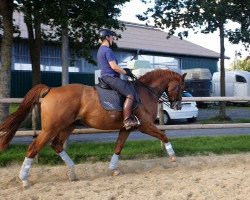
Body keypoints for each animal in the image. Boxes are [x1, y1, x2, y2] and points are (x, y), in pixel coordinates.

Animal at [0, 69, 186, 188]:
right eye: (181, 87)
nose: (177, 106)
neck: (145, 92)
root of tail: (50, 90)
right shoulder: (145, 125)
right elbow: (164, 136)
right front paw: (173, 158)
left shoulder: (126, 129)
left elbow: (118, 147)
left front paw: (113, 169)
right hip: (51, 128)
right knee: (33, 148)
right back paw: (25, 180)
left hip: (68, 126)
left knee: (57, 145)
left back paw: (72, 172)